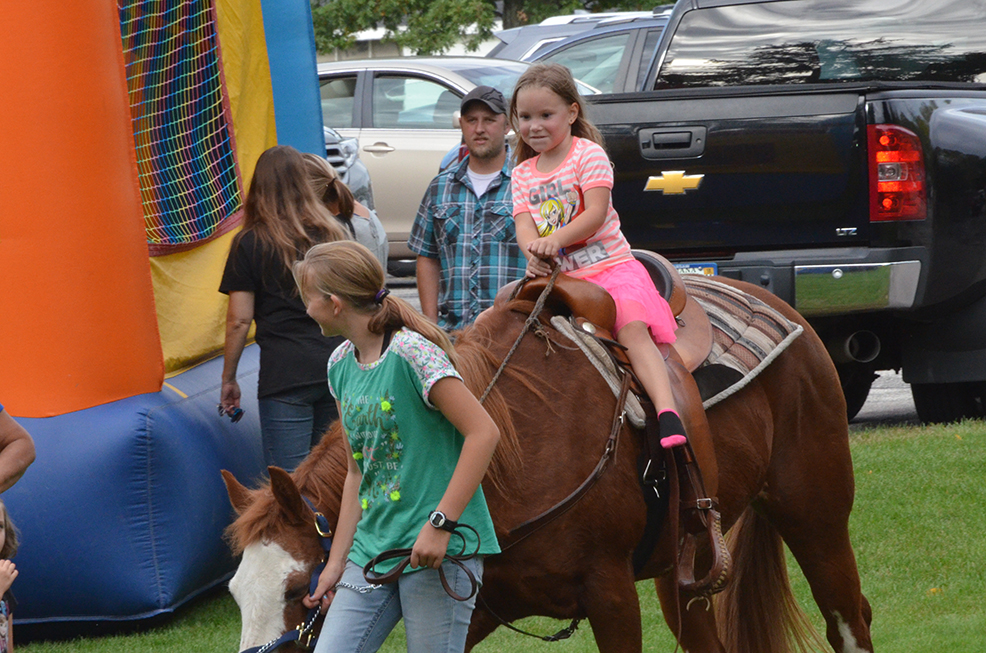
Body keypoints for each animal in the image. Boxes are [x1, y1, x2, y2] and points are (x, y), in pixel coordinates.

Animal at [223, 278, 868, 652]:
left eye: (299, 586)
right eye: (235, 591)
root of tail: (787, 310)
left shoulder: (611, 595)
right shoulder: (475, 606)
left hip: (815, 515)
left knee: (848, 616)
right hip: (685, 570)